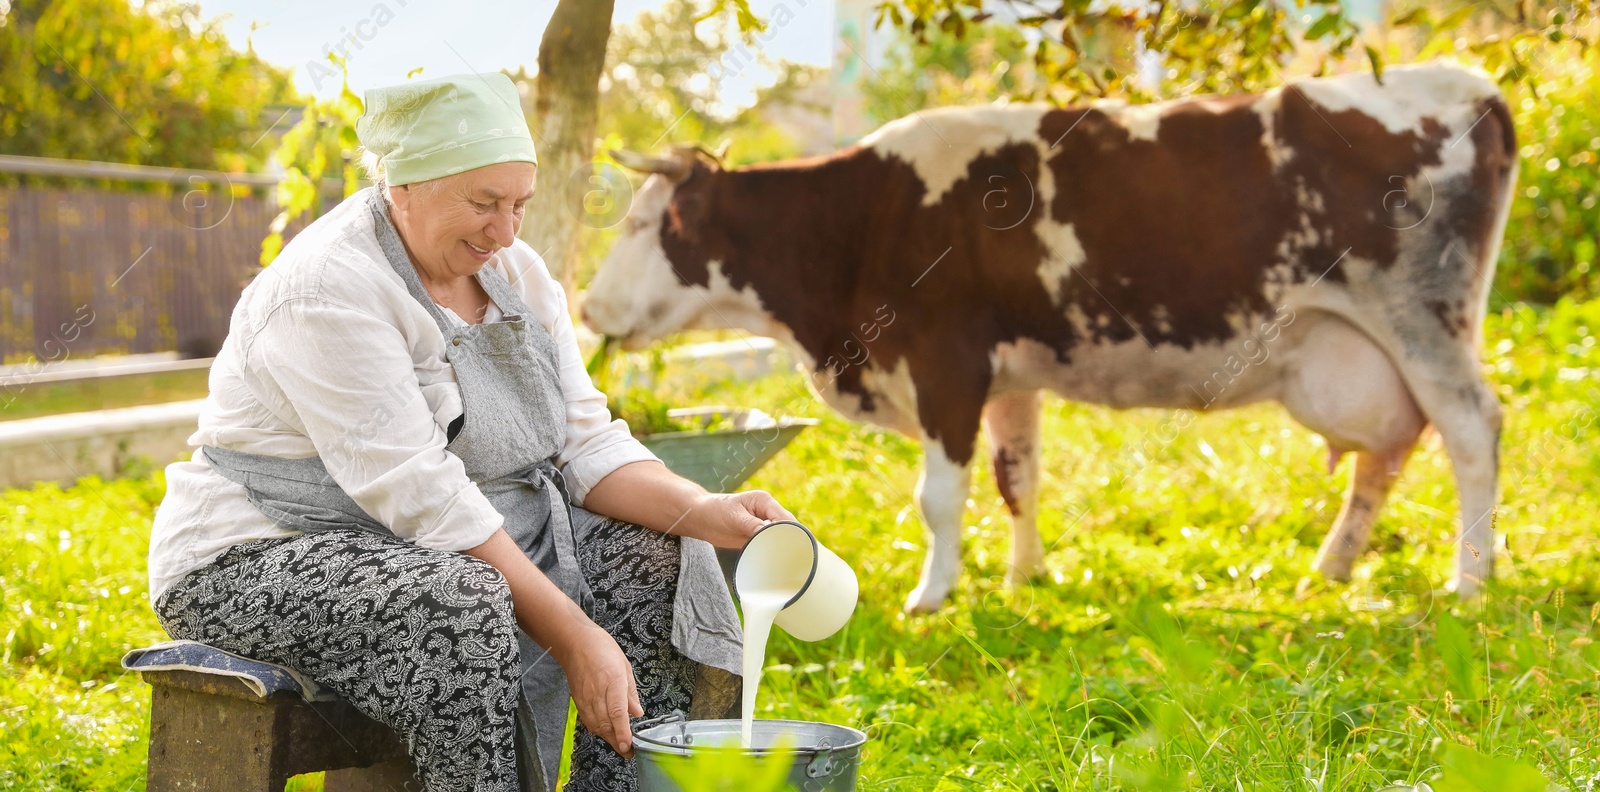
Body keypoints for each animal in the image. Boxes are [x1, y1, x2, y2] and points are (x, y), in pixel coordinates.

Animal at [582, 60, 1516, 614]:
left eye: (642, 224)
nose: (587, 310)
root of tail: (1460, 82)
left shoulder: (945, 361)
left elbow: (940, 496)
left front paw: (932, 596)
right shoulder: (1010, 376)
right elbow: (1017, 478)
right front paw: (1025, 576)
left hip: (1425, 323)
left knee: (1472, 431)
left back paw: (1470, 582)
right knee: (1389, 450)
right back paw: (1334, 567)